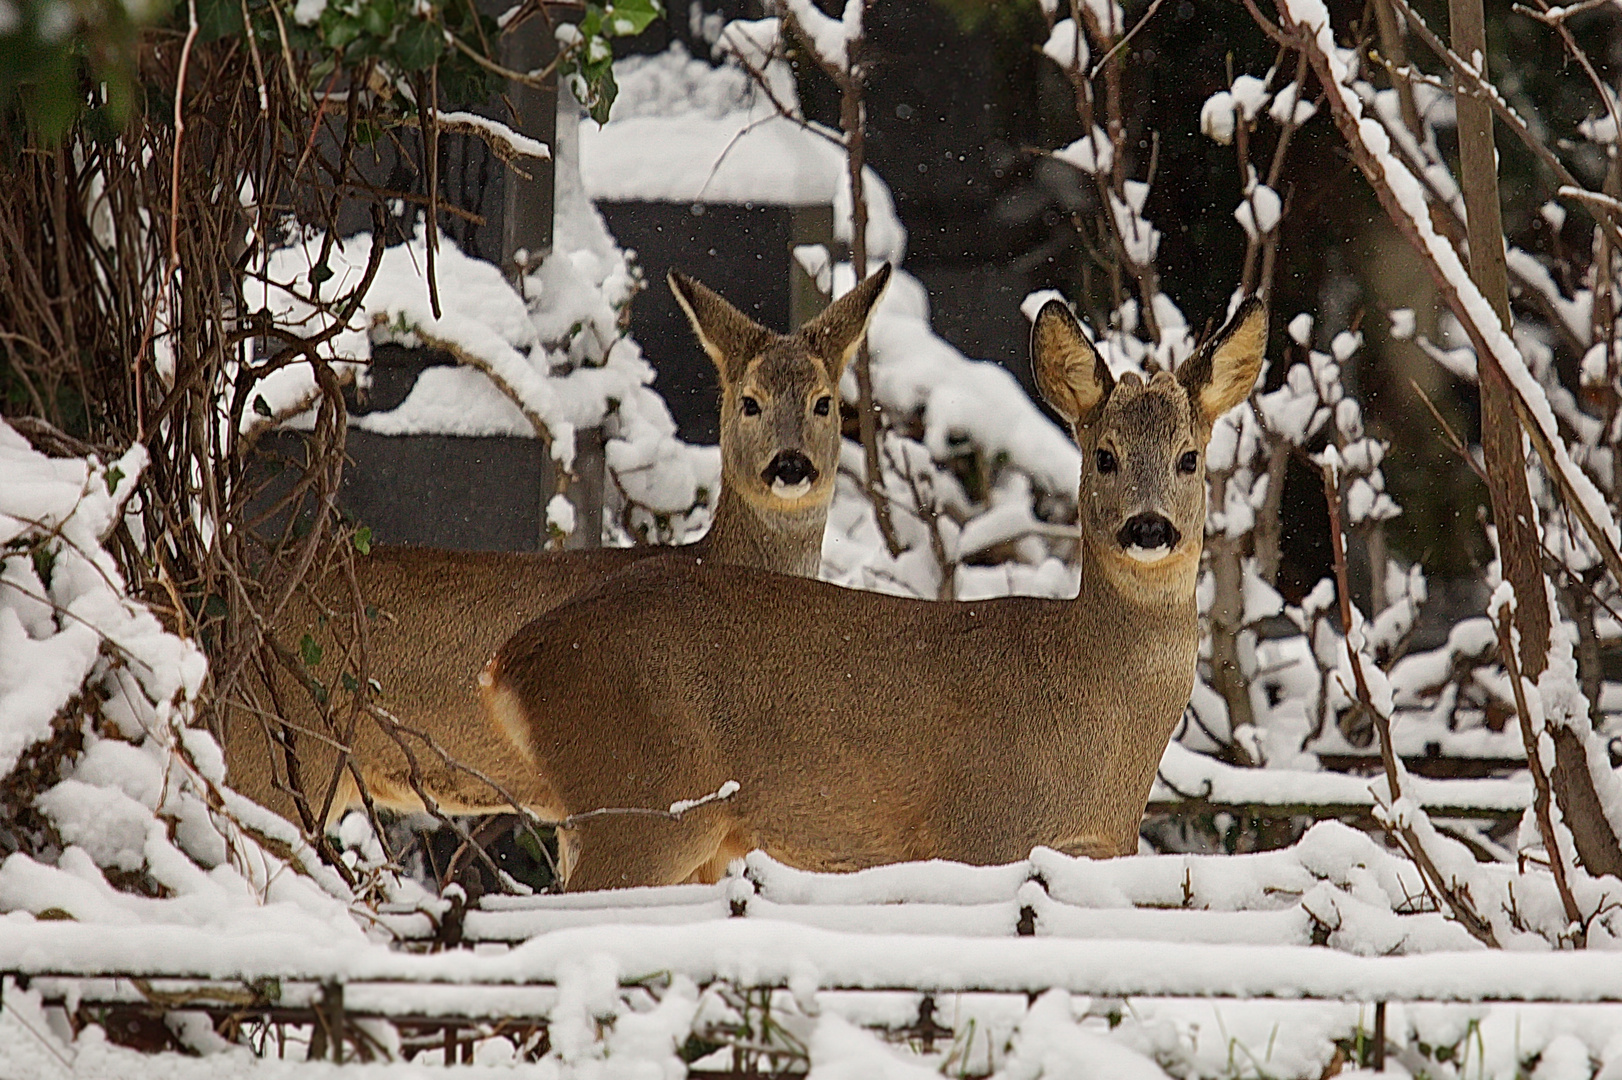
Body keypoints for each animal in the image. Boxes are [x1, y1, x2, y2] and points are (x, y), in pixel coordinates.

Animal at [480, 291, 1265, 882]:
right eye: (1104, 455)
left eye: (1190, 457)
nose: (1149, 526)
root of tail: (509, 660)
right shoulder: (980, 834)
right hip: (643, 803)